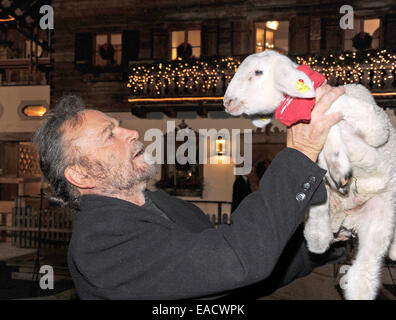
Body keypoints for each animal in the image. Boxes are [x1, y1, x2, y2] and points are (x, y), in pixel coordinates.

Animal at [224, 50, 396, 300]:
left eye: (258, 72)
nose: (226, 103)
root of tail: (347, 221)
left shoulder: (376, 125)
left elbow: (333, 107)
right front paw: (336, 165)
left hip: (380, 220)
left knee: (363, 276)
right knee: (323, 246)